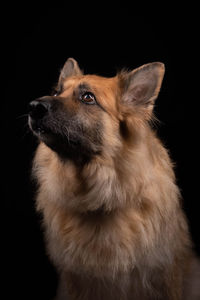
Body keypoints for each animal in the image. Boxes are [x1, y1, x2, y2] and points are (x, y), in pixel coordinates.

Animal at [28, 57, 200, 298]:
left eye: (88, 97)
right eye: (57, 92)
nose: (33, 107)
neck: (101, 197)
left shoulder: (162, 277)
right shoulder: (76, 281)